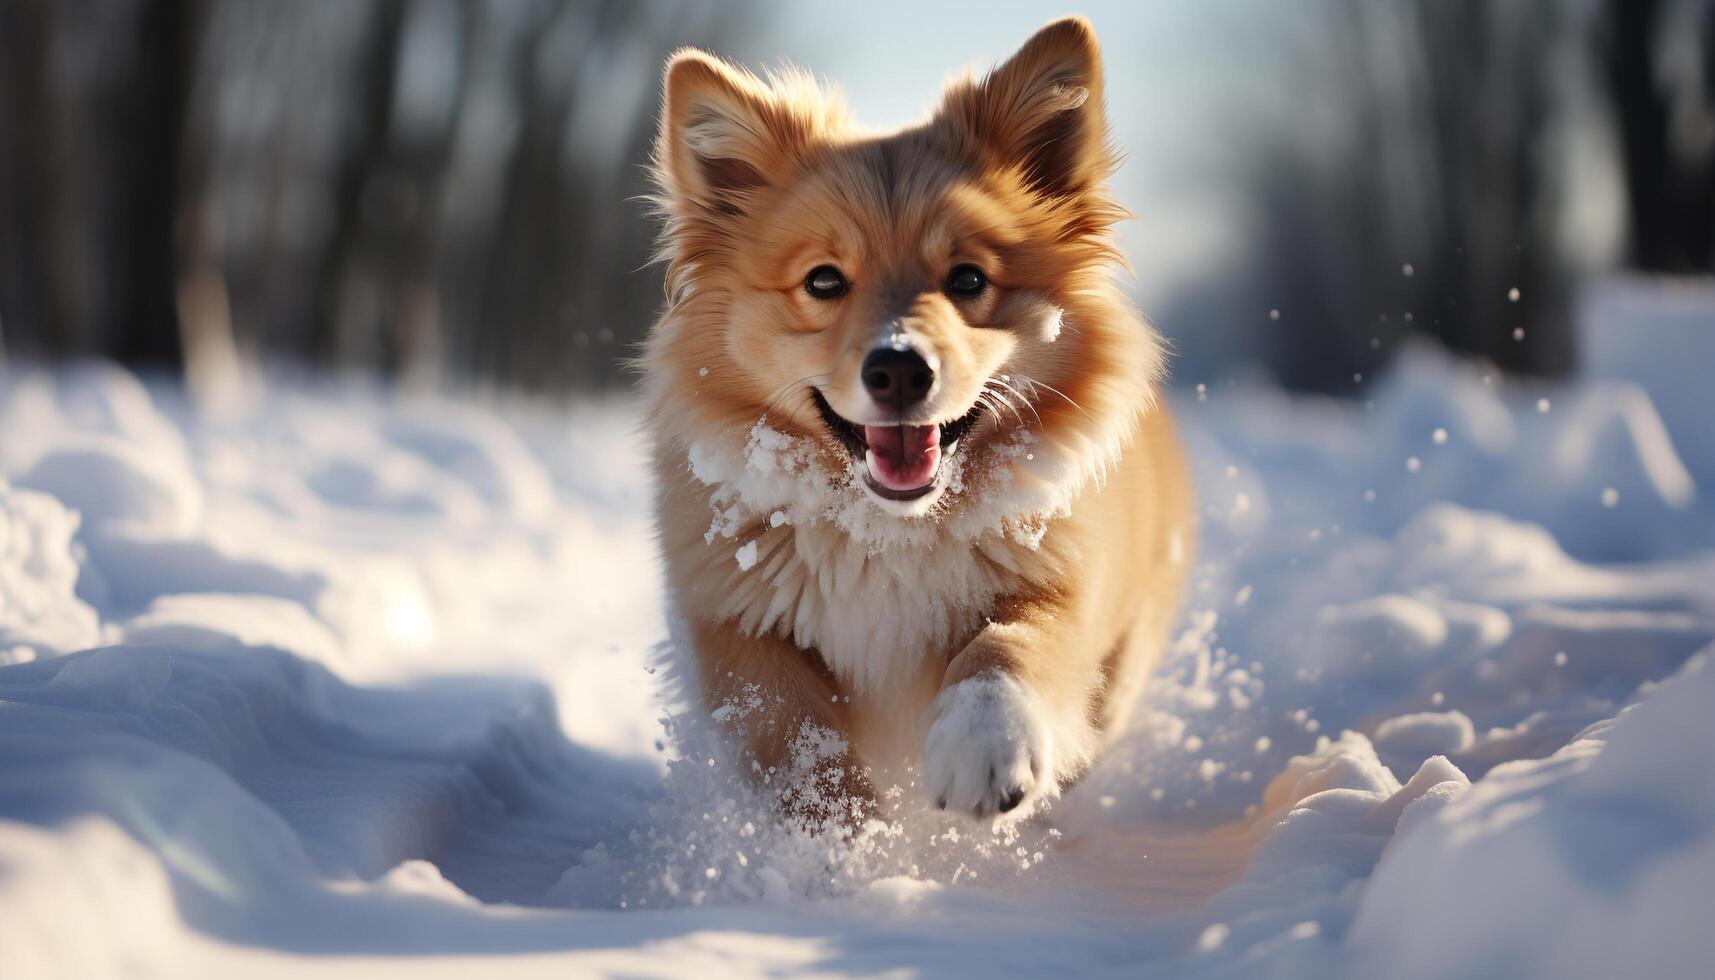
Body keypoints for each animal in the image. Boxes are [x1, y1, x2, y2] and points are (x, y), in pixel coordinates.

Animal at [644, 19, 1193, 823]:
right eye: (824, 281)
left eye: (967, 279)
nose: (900, 368)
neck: (890, 535)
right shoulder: (738, 625)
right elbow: (794, 739)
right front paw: (840, 839)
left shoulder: (1062, 581)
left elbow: (1008, 647)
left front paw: (985, 745)